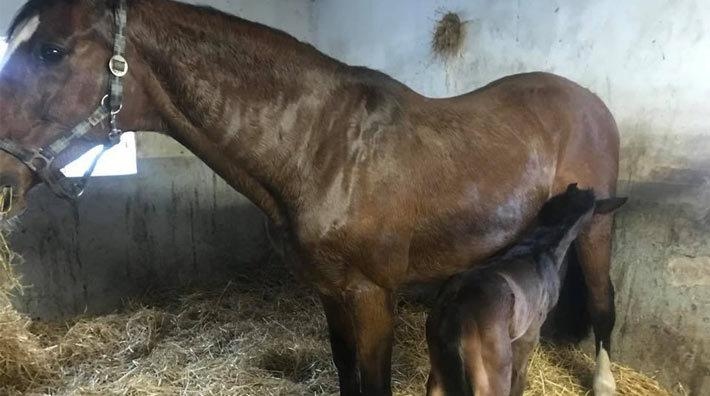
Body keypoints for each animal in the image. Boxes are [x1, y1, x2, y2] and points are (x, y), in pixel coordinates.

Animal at [426, 186, 624, 396]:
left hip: (438, 375)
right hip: (491, 378)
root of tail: (456, 310)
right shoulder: (527, 337)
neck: (539, 248)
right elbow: (519, 377)